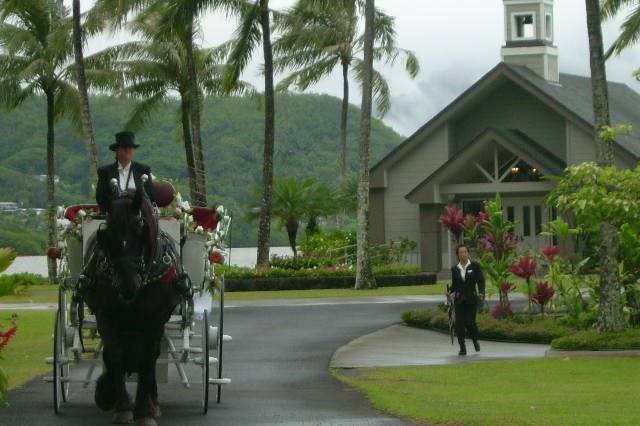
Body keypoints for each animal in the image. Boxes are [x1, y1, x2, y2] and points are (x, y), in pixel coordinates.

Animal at [82, 179, 188, 426]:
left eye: (140, 227)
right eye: (106, 231)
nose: (127, 284)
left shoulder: (154, 320)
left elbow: (147, 360)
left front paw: (144, 410)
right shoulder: (106, 317)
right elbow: (115, 357)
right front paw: (121, 407)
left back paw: (152, 401)